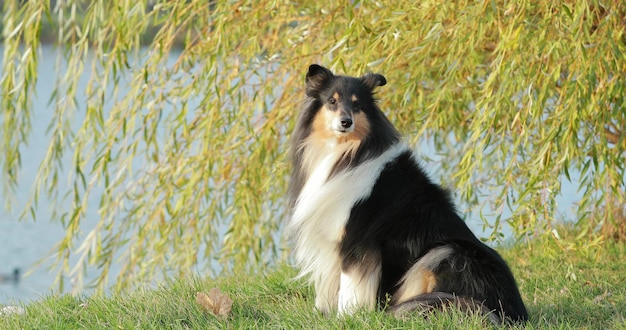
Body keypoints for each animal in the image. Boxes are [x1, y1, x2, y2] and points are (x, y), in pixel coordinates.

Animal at [286, 63, 528, 324]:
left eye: (357, 104)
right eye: (332, 101)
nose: (345, 122)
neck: (346, 152)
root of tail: (515, 313)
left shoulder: (356, 241)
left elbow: (350, 288)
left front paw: (347, 318)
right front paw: (321, 316)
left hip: (445, 253)